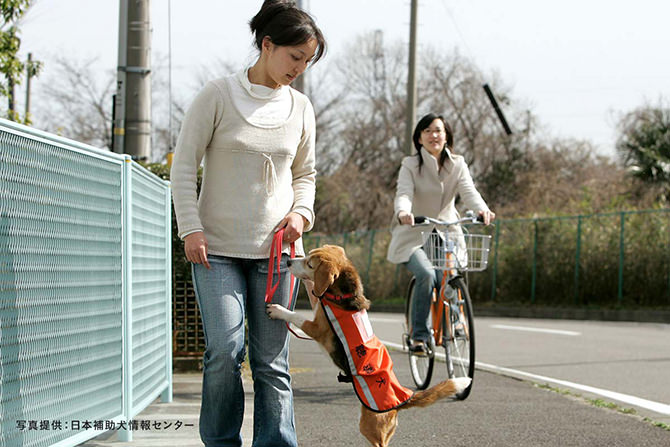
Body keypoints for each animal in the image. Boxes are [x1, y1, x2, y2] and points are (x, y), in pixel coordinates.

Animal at [266, 245, 470, 447]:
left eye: (309, 264)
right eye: (307, 256)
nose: (288, 261)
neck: (343, 294)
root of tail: (404, 399)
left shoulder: (316, 328)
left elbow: (296, 316)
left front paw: (278, 310)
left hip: (369, 423)